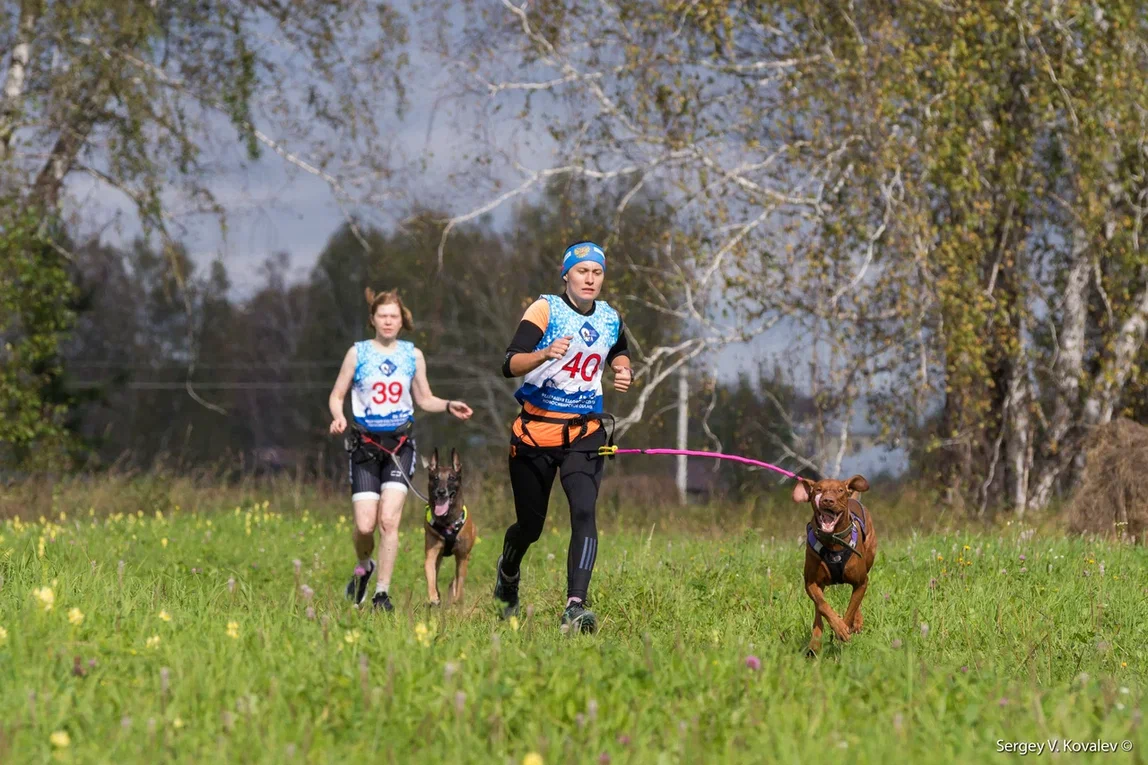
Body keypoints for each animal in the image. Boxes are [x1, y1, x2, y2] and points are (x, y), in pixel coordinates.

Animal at [422, 447, 475, 601]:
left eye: (452, 478)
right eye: (435, 478)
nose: (441, 492)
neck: (447, 521)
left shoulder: (462, 557)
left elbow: (459, 582)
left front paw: (457, 600)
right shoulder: (432, 553)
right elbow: (431, 575)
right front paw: (434, 596)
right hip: (439, 557)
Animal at [789, 470, 877, 657]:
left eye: (839, 490)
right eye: (818, 489)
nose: (827, 500)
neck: (833, 542)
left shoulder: (861, 581)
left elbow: (852, 607)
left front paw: (843, 628)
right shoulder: (811, 583)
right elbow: (822, 606)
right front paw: (836, 628)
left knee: (857, 601)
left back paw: (856, 622)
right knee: (819, 610)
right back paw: (815, 643)